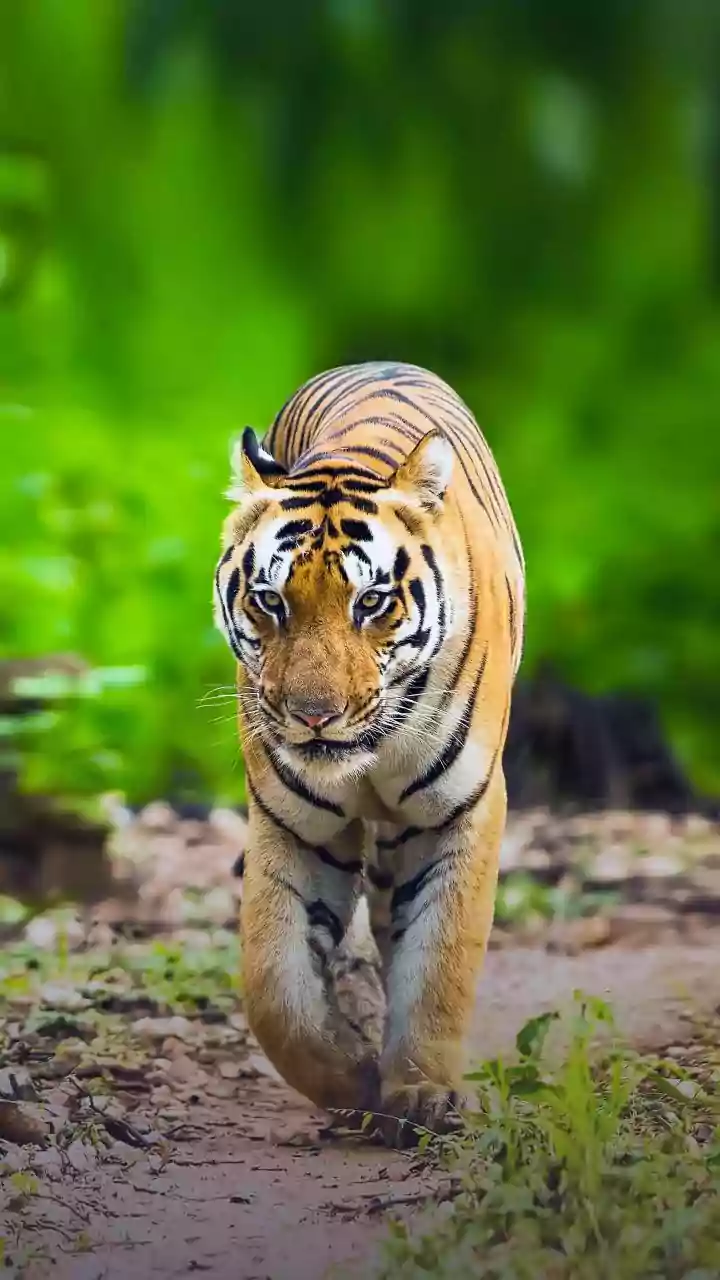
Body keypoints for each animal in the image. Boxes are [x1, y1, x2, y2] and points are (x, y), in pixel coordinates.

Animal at [213, 361, 524, 1145]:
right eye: (270, 601)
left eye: (372, 602)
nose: (312, 716)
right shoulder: (293, 823)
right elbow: (274, 987)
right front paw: (352, 1080)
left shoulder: (461, 811)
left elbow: (440, 959)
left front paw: (418, 1093)